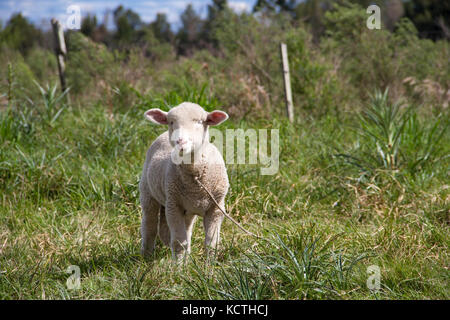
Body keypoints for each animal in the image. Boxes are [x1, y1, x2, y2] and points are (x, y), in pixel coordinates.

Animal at [140, 101, 232, 262]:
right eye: (171, 122)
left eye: (200, 121)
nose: (180, 141)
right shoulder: (173, 206)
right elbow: (178, 242)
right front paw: (178, 267)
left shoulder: (216, 208)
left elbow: (211, 241)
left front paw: (210, 264)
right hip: (148, 193)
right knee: (149, 225)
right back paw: (146, 256)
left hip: (186, 207)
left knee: (186, 230)